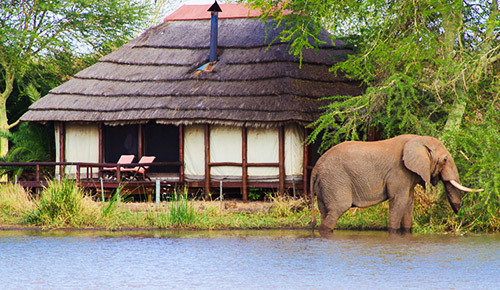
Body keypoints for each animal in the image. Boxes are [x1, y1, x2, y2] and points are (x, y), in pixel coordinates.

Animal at [310, 135, 478, 234]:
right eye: (444, 160)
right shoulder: (399, 172)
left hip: (326, 183)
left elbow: (409, 202)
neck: (418, 139)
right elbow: (399, 200)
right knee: (337, 210)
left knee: (324, 211)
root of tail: (315, 168)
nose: (461, 224)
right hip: (335, 179)